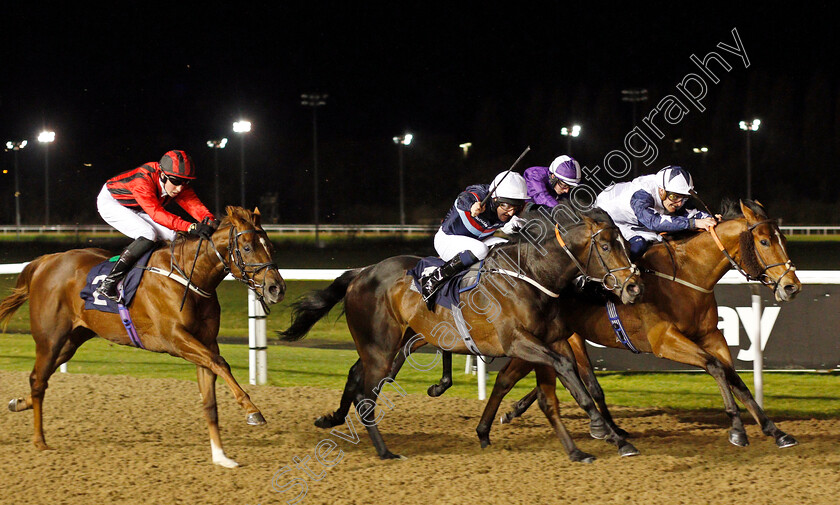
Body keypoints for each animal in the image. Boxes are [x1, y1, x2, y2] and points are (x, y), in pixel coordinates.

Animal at [0, 207, 286, 466]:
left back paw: (19, 403)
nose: (277, 288)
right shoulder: (175, 339)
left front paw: (221, 457)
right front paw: (252, 410)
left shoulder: (204, 342)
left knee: (40, 379)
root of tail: (45, 261)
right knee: (38, 381)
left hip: (72, 340)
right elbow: (221, 363)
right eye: (247, 248)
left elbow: (210, 400)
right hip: (50, 339)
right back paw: (39, 440)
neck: (187, 275)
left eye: (271, 246)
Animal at [282, 206, 644, 460]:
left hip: (385, 345)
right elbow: (566, 372)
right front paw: (600, 428)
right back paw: (384, 451)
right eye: (607, 246)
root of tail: (361, 272)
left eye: (626, 243)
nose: (633, 287)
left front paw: (615, 437)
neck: (531, 275)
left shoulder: (555, 339)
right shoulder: (518, 342)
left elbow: (577, 382)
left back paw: (332, 419)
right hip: (380, 348)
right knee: (365, 396)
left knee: (355, 375)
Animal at [482, 198, 804, 448]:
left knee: (526, 374)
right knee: (578, 379)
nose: (792, 287)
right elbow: (714, 368)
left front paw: (775, 431)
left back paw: (515, 411)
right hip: (564, 337)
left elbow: (735, 379)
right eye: (764, 241)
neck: (686, 276)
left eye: (784, 240)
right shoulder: (664, 340)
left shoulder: (711, 336)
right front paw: (737, 429)